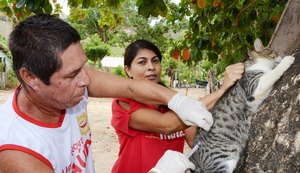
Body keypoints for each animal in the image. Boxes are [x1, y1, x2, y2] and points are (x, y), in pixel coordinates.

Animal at [189, 38, 294, 173]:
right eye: (273, 51)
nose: (280, 55)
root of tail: (193, 159)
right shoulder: (254, 85)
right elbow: (273, 73)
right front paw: (287, 59)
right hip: (224, 156)